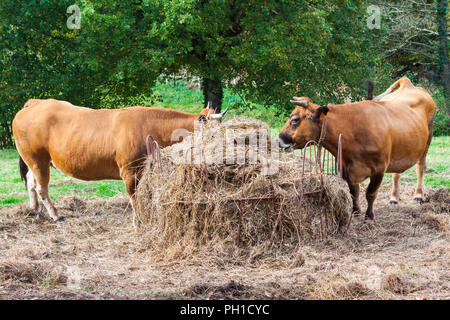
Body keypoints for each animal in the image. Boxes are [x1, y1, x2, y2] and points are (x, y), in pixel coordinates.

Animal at [12, 99, 227, 228]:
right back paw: (55, 214)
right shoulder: (129, 171)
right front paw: (138, 222)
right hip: (37, 159)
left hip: (36, 161)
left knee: (30, 181)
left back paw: (35, 209)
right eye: (213, 132)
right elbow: (134, 197)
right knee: (41, 187)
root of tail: (36, 103)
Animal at [280, 77, 434, 220]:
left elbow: (370, 193)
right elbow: (354, 193)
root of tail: (408, 85)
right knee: (396, 173)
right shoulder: (346, 168)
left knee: (420, 167)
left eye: (294, 120)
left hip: (427, 142)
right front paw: (355, 212)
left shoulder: (379, 169)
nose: (280, 139)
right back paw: (394, 198)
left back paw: (418, 195)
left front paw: (369, 216)